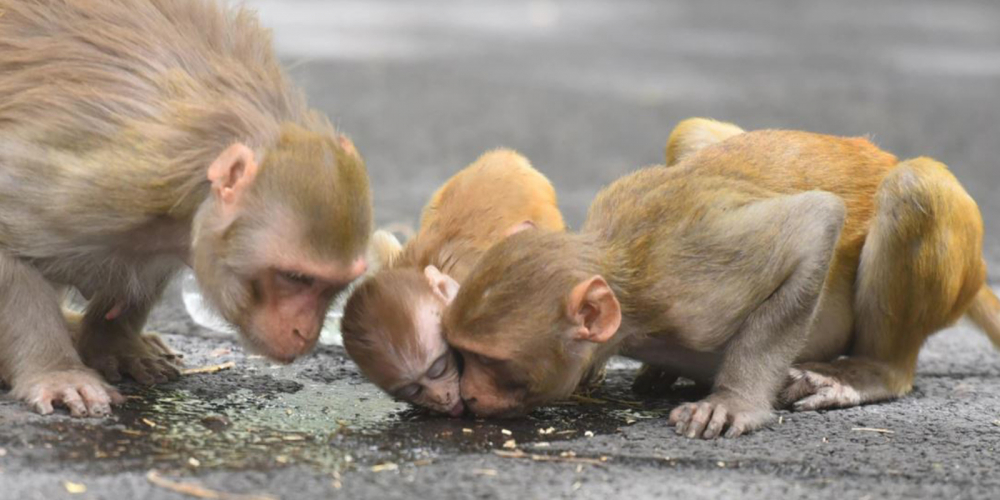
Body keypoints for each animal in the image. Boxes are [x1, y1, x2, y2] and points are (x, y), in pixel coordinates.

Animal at [0, 0, 374, 418]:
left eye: (334, 285)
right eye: (296, 278)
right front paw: (58, 371)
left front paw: (114, 344)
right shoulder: (94, 184)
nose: (305, 334)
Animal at [448, 117, 1000, 438]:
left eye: (487, 361)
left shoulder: (688, 289)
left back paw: (873, 371)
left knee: (915, 186)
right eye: (457, 351)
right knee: (689, 133)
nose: (468, 394)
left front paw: (735, 402)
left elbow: (816, 223)